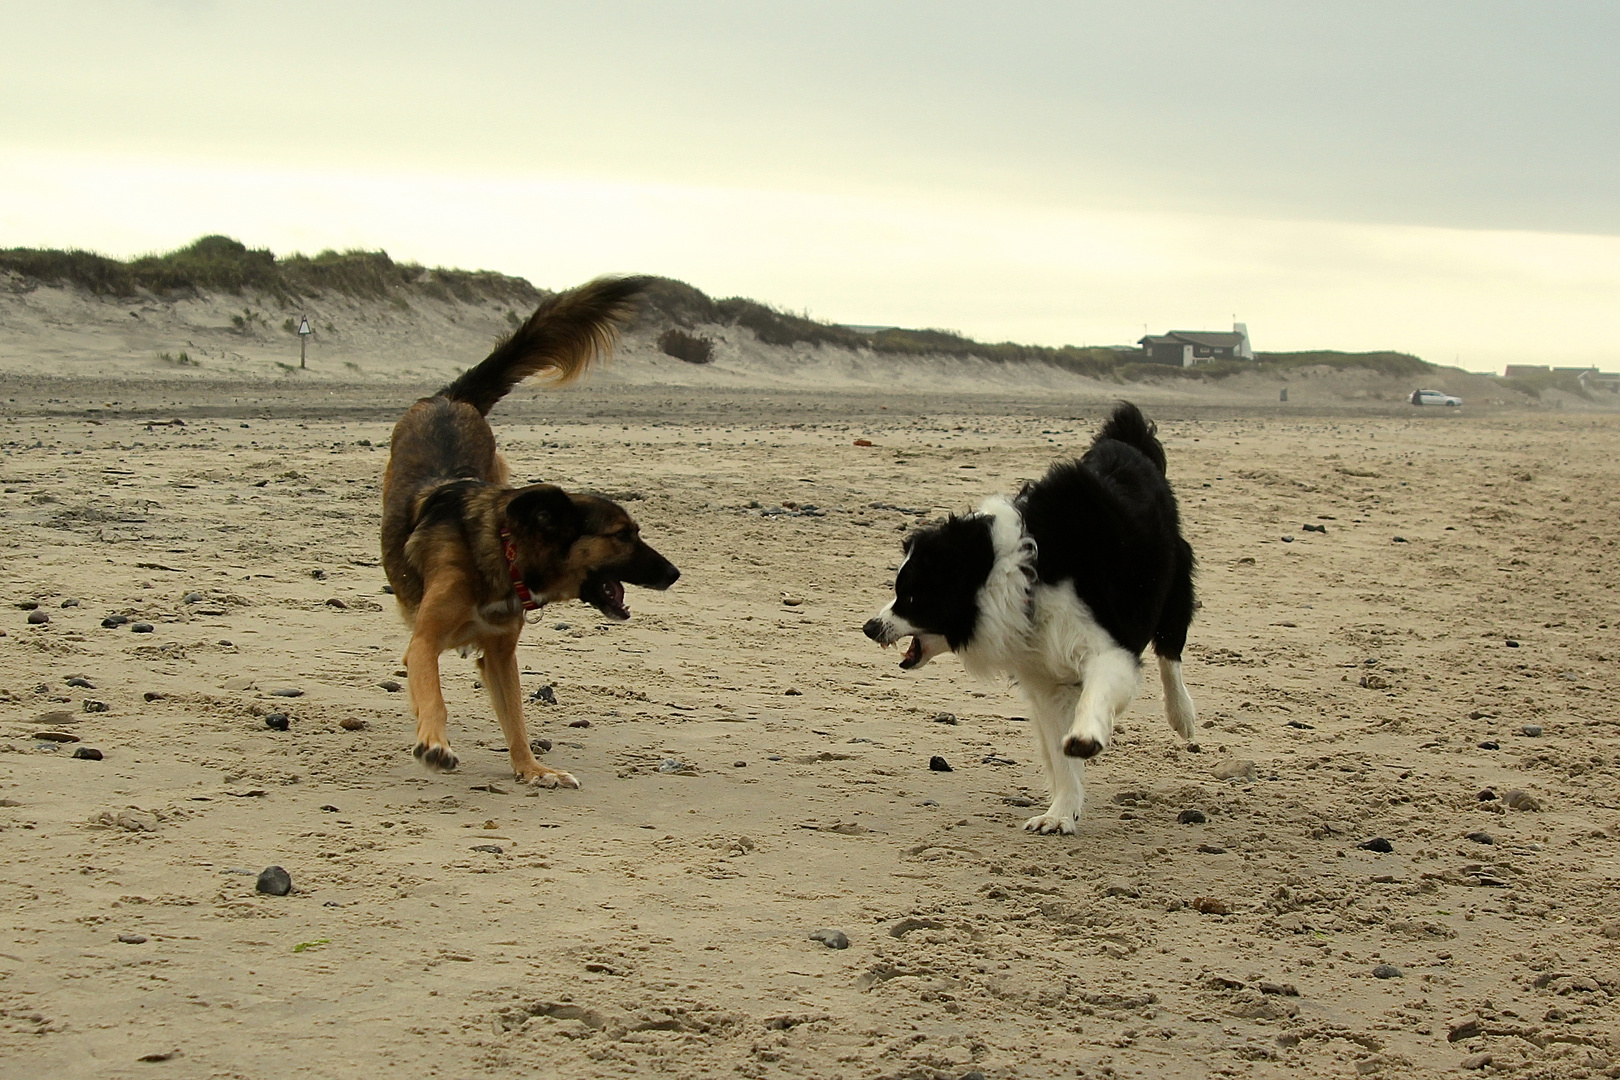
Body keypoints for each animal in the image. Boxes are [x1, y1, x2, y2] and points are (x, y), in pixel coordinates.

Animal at [380, 275, 677, 790]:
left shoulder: (501, 655)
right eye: (623, 535)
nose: (675, 573)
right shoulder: (422, 643)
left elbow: (515, 715)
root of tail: (450, 399)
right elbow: (433, 693)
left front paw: (531, 769)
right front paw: (434, 743)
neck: (502, 555)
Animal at [868, 404, 1198, 835]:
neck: (1010, 574)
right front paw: (1061, 812)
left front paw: (1085, 738)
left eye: (911, 596)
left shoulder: (1108, 645)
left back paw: (1182, 715)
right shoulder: (1045, 676)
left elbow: (1095, 696)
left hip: (1173, 584)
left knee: (1170, 651)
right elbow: (1060, 754)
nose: (870, 627)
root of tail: (1129, 439)